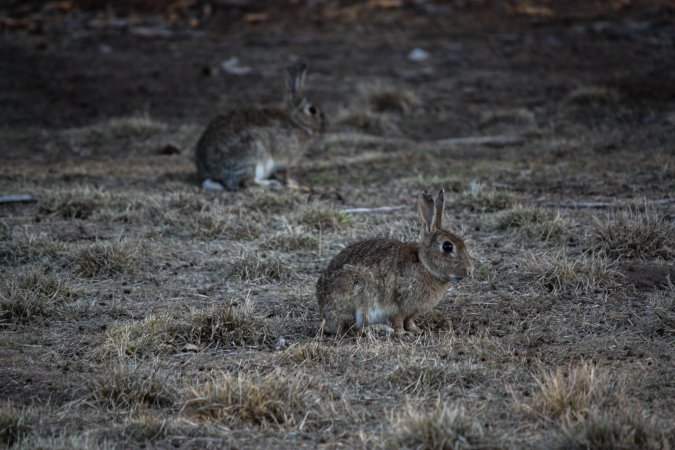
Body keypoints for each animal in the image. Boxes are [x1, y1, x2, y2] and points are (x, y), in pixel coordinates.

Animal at [195, 62, 327, 191]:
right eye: (312, 110)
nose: (325, 127)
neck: (297, 121)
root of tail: (211, 173)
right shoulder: (285, 161)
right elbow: (284, 175)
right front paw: (292, 184)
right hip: (253, 159)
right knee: (244, 182)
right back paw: (272, 184)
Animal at [316, 189, 472, 337]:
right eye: (447, 246)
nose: (470, 271)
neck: (424, 264)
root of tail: (324, 313)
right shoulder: (396, 305)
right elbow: (398, 321)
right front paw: (403, 333)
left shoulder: (411, 311)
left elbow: (409, 321)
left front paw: (417, 330)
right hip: (356, 297)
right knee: (352, 328)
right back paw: (380, 329)